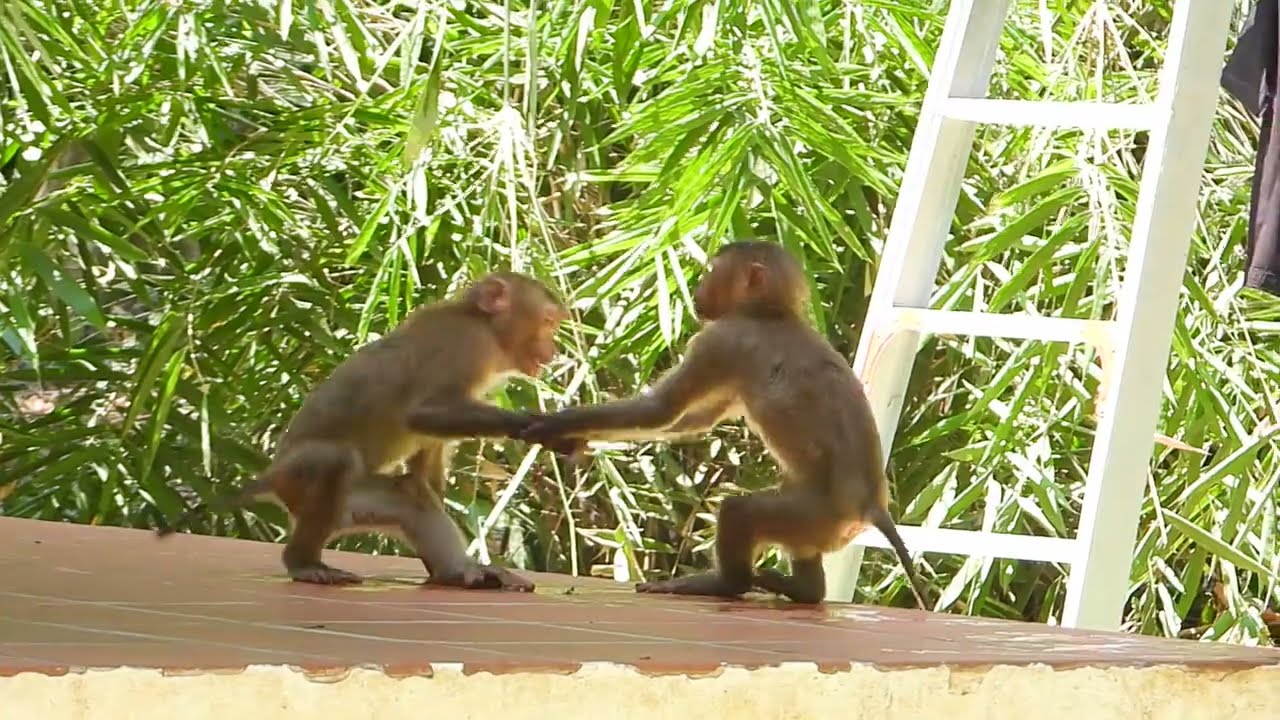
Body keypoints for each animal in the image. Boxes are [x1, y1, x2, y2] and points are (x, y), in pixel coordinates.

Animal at [156, 271, 582, 591]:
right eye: (547, 322)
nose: (553, 350)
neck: (482, 325)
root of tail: (274, 477)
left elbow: (424, 467)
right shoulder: (464, 346)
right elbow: (422, 414)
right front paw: (530, 424)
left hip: (354, 505)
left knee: (409, 496)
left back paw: (457, 573)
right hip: (301, 483)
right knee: (334, 460)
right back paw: (305, 563)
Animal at [520, 241, 930, 609]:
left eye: (712, 273)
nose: (698, 291)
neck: (772, 315)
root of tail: (871, 508)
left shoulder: (722, 339)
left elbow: (661, 410)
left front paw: (557, 423)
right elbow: (692, 420)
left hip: (813, 516)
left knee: (741, 512)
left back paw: (726, 584)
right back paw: (805, 591)